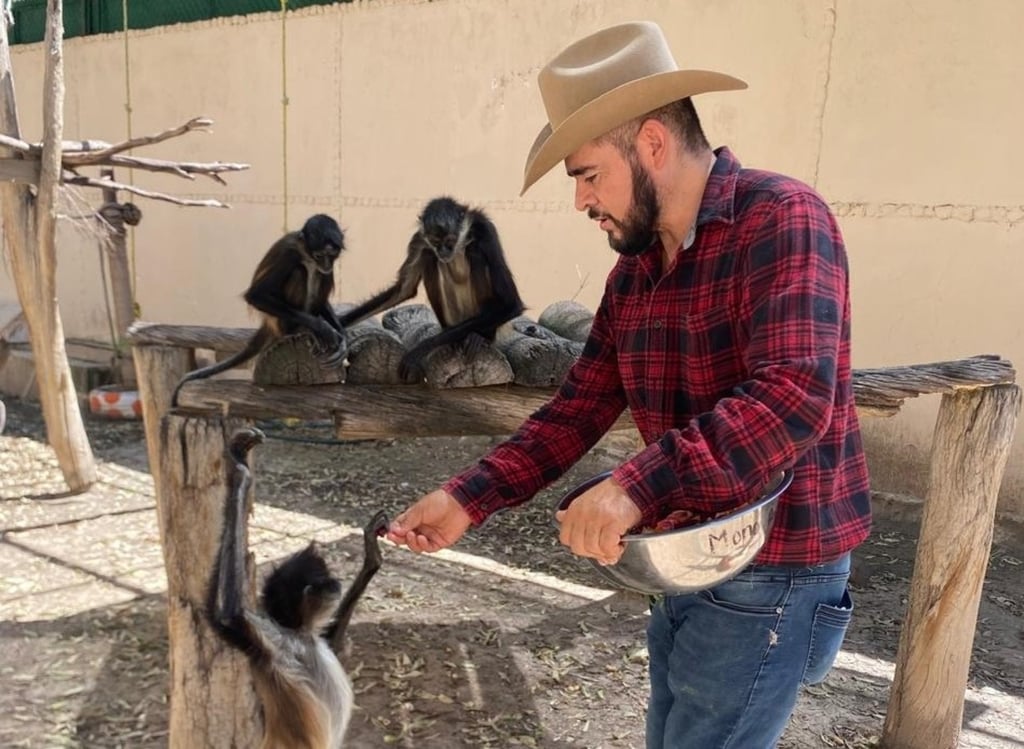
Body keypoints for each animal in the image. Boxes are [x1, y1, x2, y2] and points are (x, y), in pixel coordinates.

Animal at [173, 214, 348, 407]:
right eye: (319, 255)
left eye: (332, 255)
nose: (326, 264)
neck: (306, 254)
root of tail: (269, 322)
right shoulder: (289, 253)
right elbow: (255, 295)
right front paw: (319, 327)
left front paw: (343, 341)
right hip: (280, 320)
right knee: (299, 271)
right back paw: (299, 329)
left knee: (321, 276)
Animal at [207, 428, 387, 749]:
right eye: (322, 582)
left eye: (328, 575)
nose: (336, 583)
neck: (303, 635)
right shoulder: (276, 643)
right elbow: (228, 615)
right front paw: (241, 470)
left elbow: (334, 643)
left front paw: (371, 555)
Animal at [337, 196, 524, 383]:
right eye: (436, 242)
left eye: (450, 242)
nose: (442, 252)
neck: (459, 244)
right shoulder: (419, 240)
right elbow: (403, 290)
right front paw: (338, 323)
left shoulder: (485, 229)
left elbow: (511, 303)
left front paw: (423, 348)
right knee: (429, 256)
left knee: (474, 251)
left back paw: (481, 336)